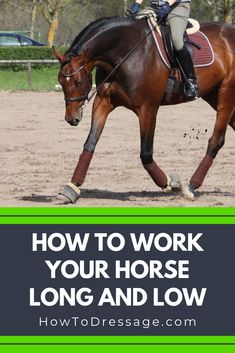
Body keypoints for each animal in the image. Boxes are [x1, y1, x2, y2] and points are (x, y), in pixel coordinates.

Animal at [53, 15, 235, 204]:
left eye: (78, 82)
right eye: (60, 80)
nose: (72, 118)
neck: (124, 54)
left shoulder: (148, 109)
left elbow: (145, 153)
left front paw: (169, 183)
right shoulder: (103, 102)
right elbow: (90, 143)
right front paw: (71, 187)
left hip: (226, 95)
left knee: (216, 141)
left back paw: (191, 187)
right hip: (214, 95)